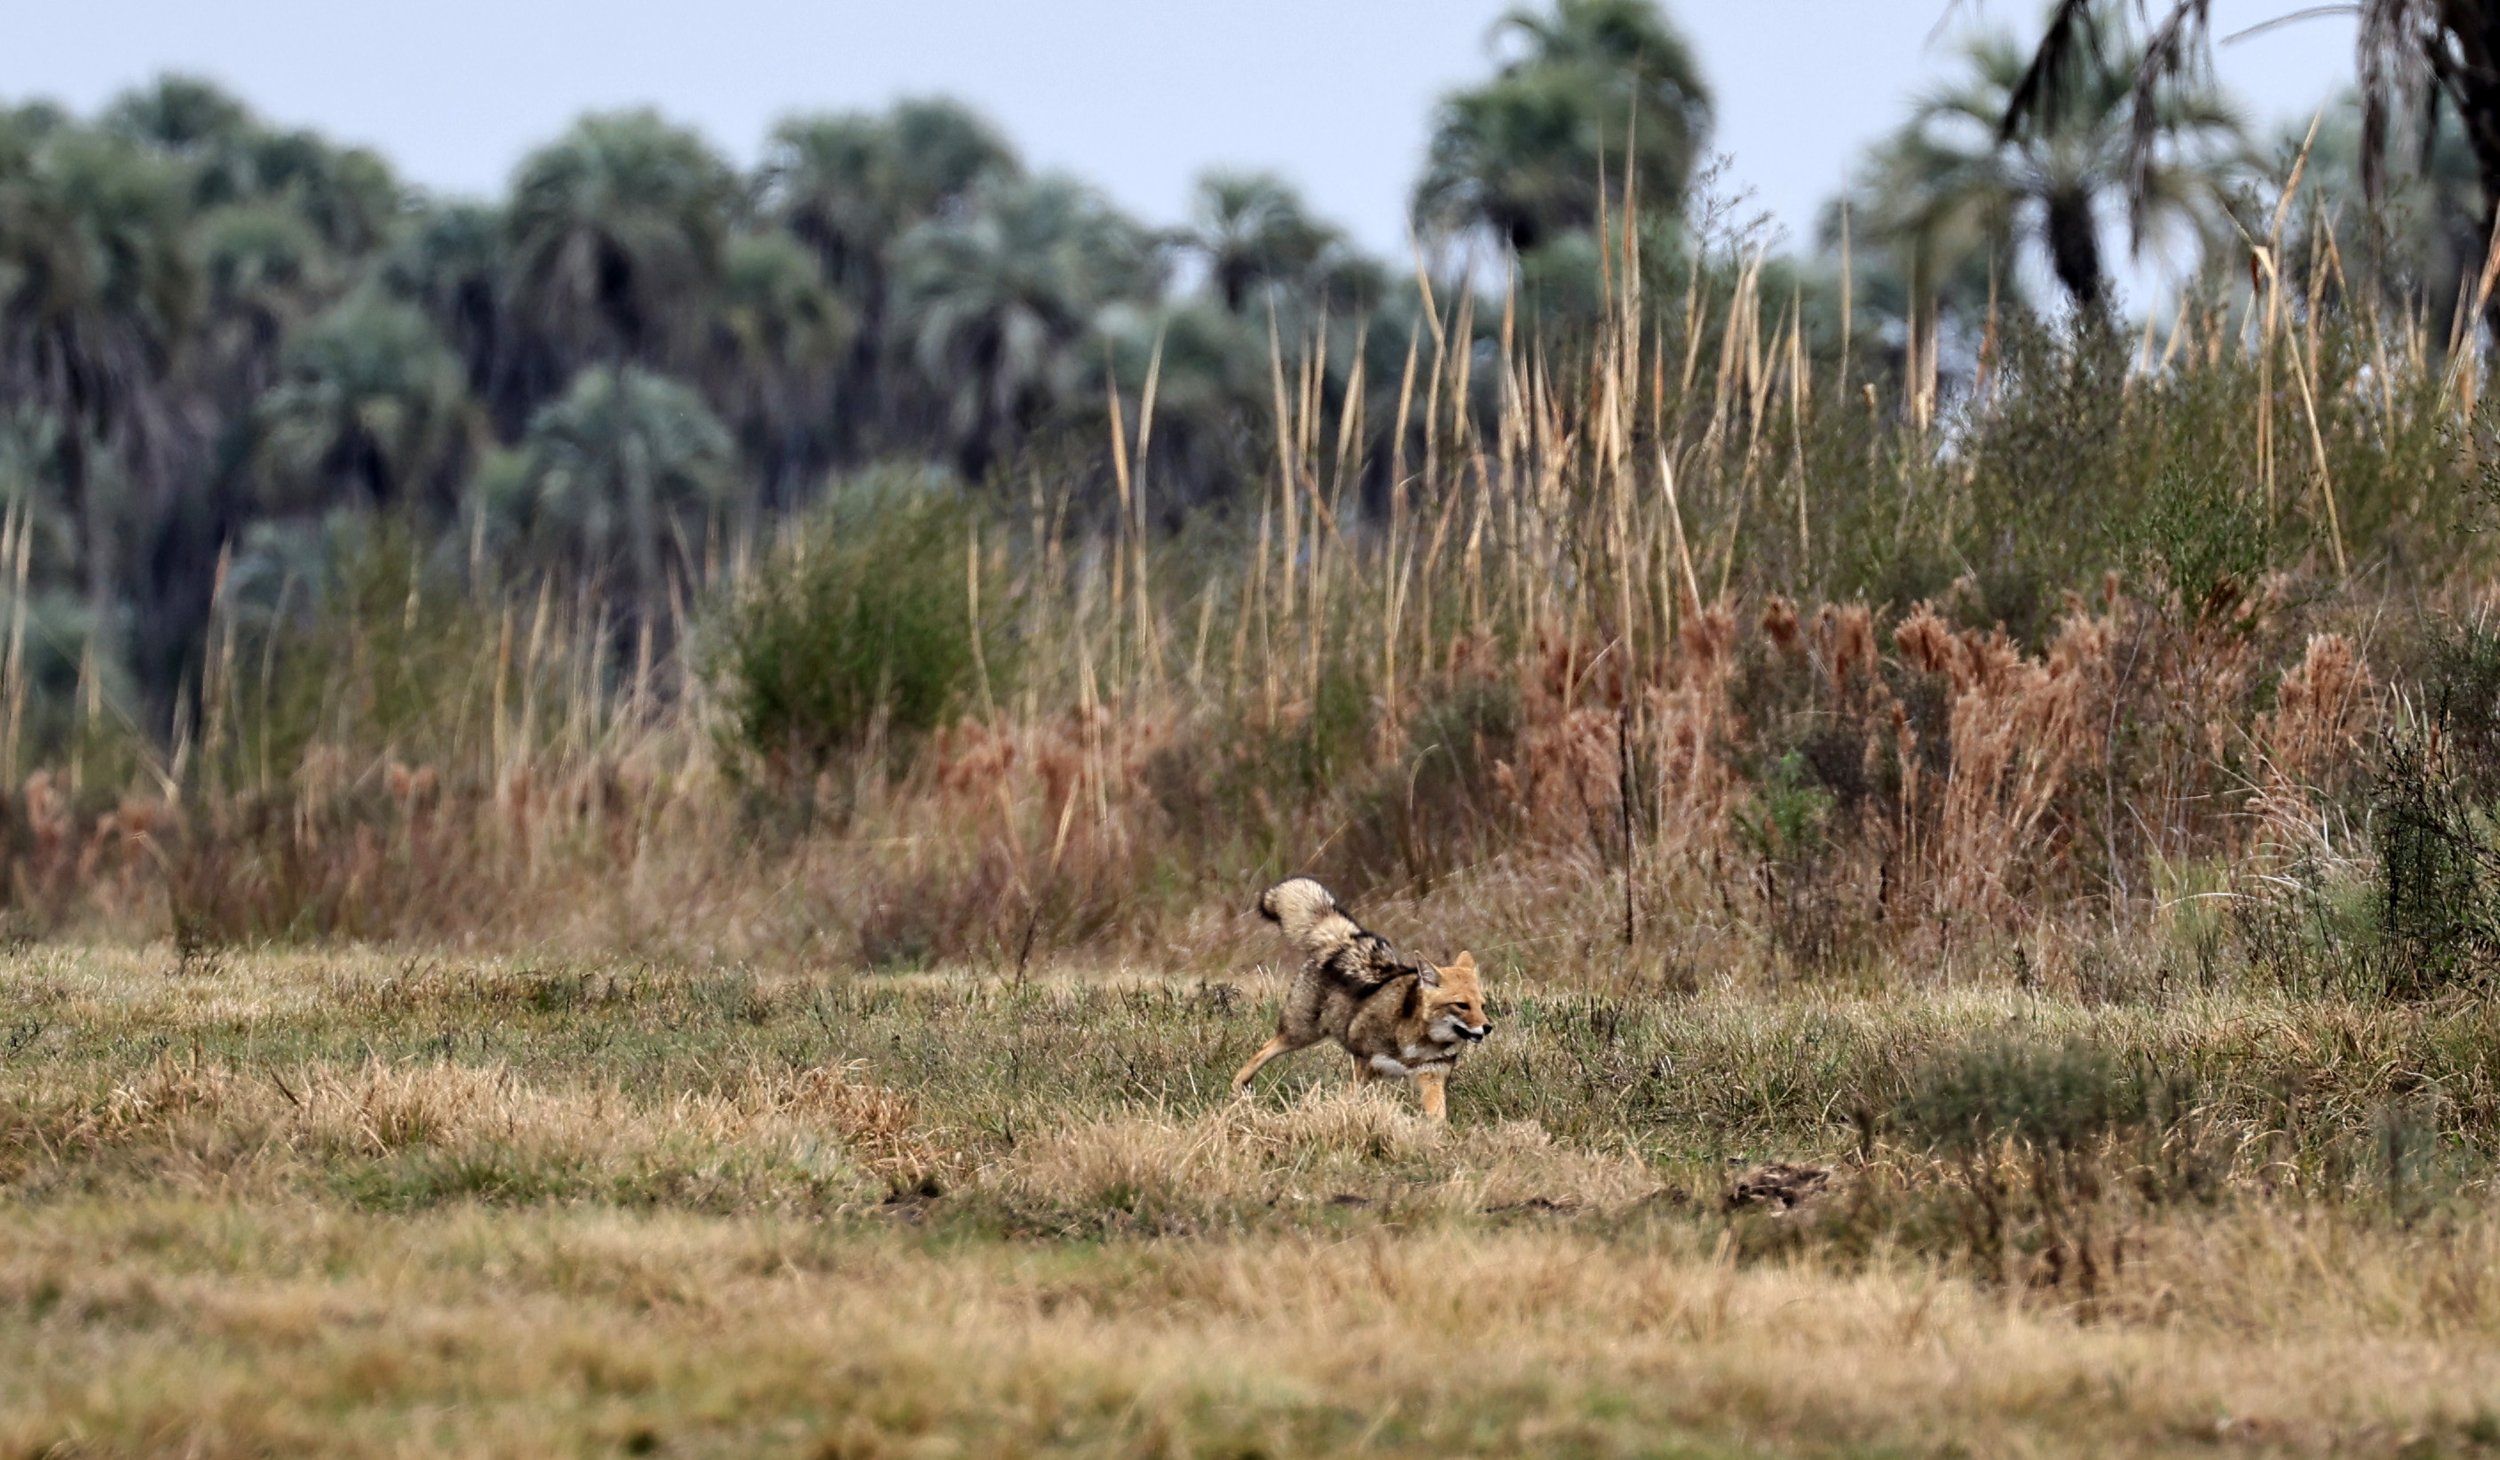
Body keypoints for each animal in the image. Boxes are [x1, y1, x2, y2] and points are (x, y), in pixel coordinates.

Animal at [1229, 877, 1493, 1122]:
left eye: (1482, 1006)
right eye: (1461, 1005)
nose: (1488, 1027)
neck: (1416, 1041)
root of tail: (1342, 940)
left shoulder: (1431, 1078)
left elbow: (1437, 1118)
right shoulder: (1364, 1061)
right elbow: (1351, 1098)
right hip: (1300, 1033)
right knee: (1263, 1051)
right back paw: (1238, 1087)